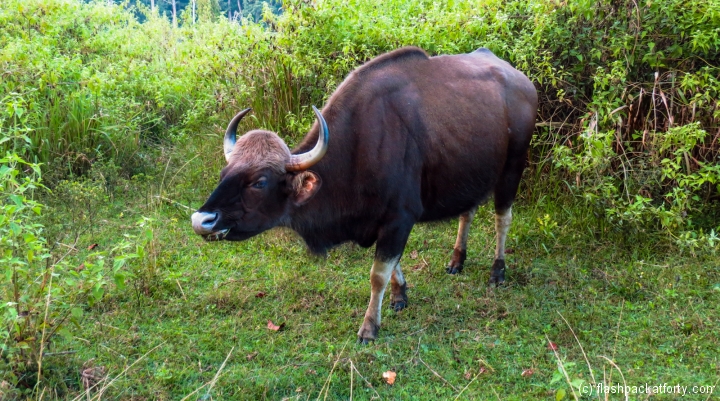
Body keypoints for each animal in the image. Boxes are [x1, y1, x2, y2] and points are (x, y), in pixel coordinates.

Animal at [194, 46, 536, 340]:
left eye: (259, 181)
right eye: (225, 173)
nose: (202, 220)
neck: (359, 145)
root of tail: (523, 82)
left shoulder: (400, 218)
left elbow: (378, 273)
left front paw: (370, 326)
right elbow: (393, 265)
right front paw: (400, 295)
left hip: (512, 168)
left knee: (502, 219)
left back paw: (497, 271)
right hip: (472, 173)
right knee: (468, 211)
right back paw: (457, 260)